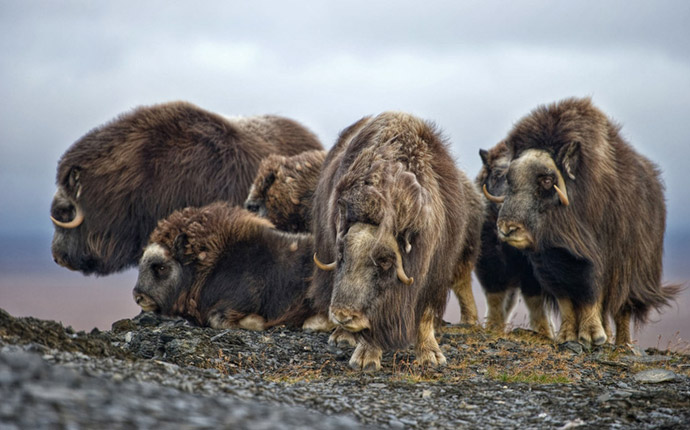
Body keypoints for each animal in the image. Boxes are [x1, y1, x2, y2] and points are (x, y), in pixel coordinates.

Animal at [310, 112, 482, 372]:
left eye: (384, 261)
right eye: (341, 256)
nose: (343, 315)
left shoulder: (435, 274)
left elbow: (425, 315)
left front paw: (431, 356)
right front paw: (365, 358)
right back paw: (342, 337)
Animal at [476, 143, 552, 338]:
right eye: (497, 174)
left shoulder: (531, 272)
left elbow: (535, 301)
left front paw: (544, 333)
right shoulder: (489, 264)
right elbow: (495, 297)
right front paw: (493, 327)